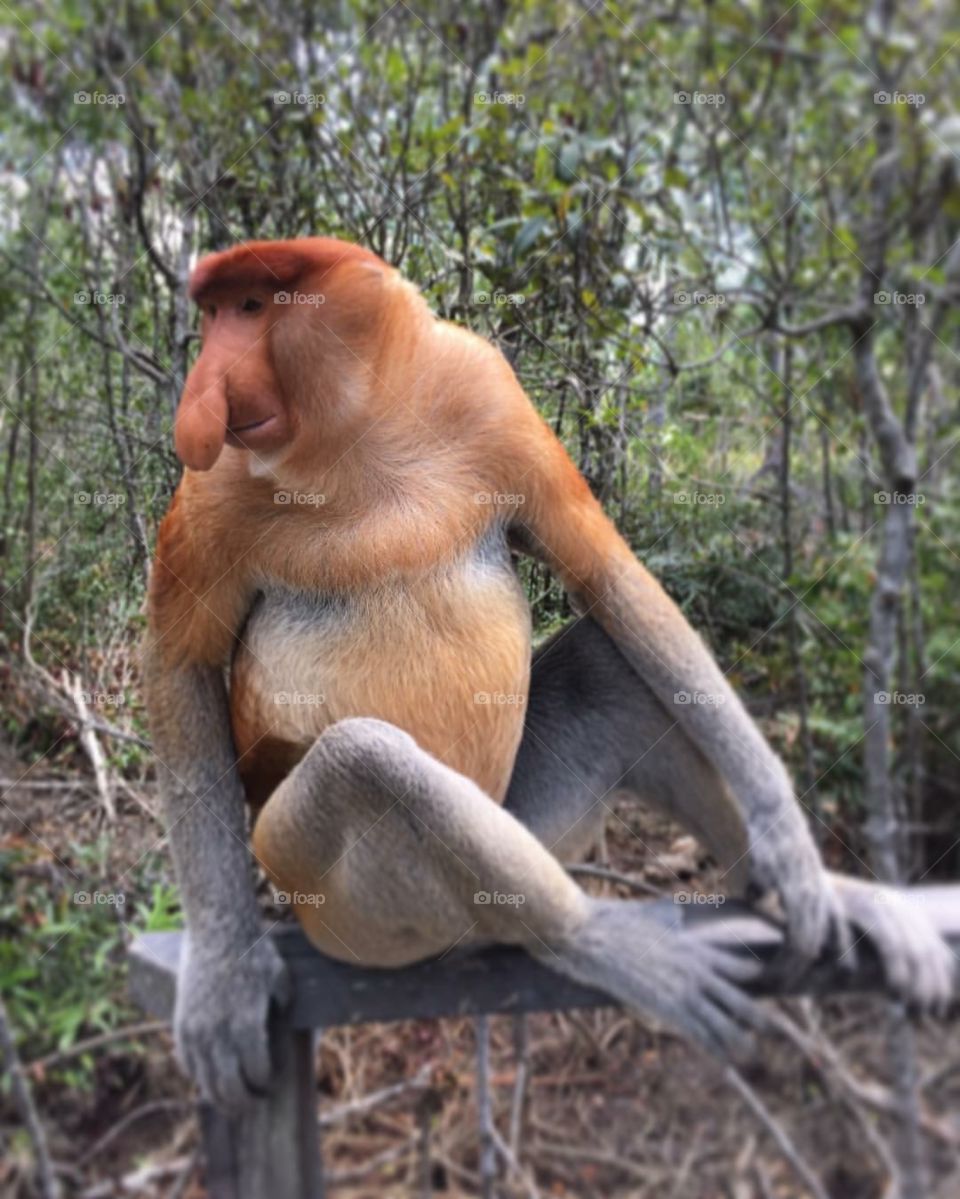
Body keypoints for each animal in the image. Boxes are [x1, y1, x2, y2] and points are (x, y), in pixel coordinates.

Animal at [143, 237, 956, 1108]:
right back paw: (599, 940)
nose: (202, 394)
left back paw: (809, 897)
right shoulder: (215, 485)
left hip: (533, 814)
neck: (358, 427)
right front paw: (225, 976)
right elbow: (182, 663)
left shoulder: (490, 395)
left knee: (606, 665)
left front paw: (796, 850)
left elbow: (606, 574)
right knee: (365, 757)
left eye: (249, 307)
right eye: (213, 313)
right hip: (344, 906)